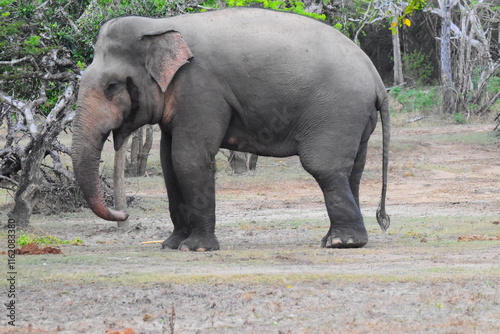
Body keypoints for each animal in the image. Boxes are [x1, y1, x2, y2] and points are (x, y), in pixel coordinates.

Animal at [70, 7, 390, 250]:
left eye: (112, 87)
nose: (122, 212)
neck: (159, 27)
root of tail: (376, 78)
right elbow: (168, 163)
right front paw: (170, 245)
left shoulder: (200, 89)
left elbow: (188, 159)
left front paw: (195, 248)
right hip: (356, 120)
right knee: (353, 171)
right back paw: (336, 239)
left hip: (337, 111)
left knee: (324, 167)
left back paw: (343, 243)